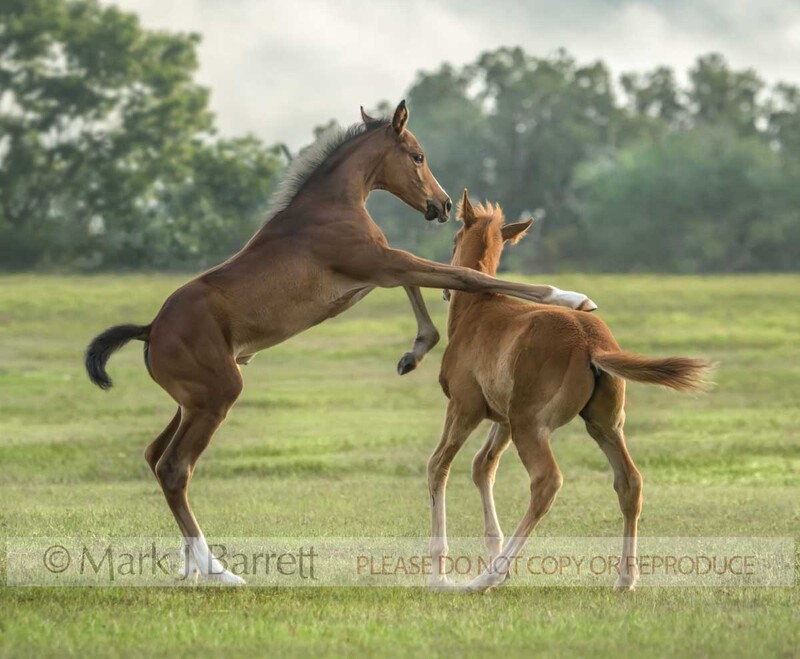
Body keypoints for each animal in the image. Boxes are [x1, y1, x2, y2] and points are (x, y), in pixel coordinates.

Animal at [84, 102, 597, 585]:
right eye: (418, 155)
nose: (442, 203)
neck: (330, 206)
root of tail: (151, 329)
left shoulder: (373, 272)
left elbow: (424, 282)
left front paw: (415, 352)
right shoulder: (378, 261)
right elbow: (461, 275)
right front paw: (572, 297)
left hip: (191, 401)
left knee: (155, 457)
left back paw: (189, 566)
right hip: (218, 395)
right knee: (175, 467)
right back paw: (218, 570)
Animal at [428, 190, 711, 592]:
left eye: (454, 241)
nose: (444, 291)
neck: (478, 310)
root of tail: (591, 342)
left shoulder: (465, 406)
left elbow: (439, 466)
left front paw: (440, 575)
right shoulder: (502, 418)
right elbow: (482, 466)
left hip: (531, 424)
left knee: (546, 481)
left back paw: (489, 576)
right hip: (604, 423)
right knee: (630, 482)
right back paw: (625, 578)